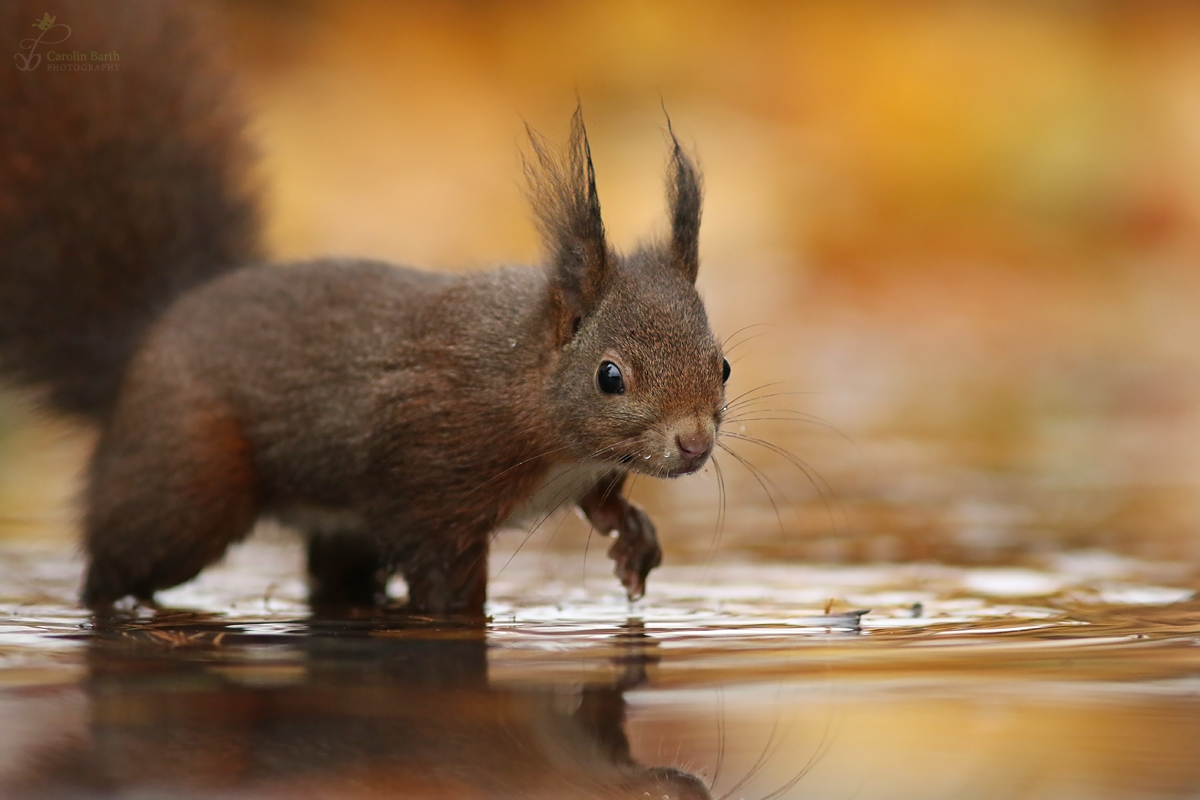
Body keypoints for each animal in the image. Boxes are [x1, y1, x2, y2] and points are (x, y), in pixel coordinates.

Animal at [0, 0, 720, 618]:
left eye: (724, 366)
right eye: (609, 376)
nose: (694, 443)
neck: (526, 386)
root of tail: (147, 334)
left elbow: (604, 503)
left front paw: (633, 536)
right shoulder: (435, 492)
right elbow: (447, 584)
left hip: (333, 529)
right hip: (185, 484)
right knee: (116, 563)